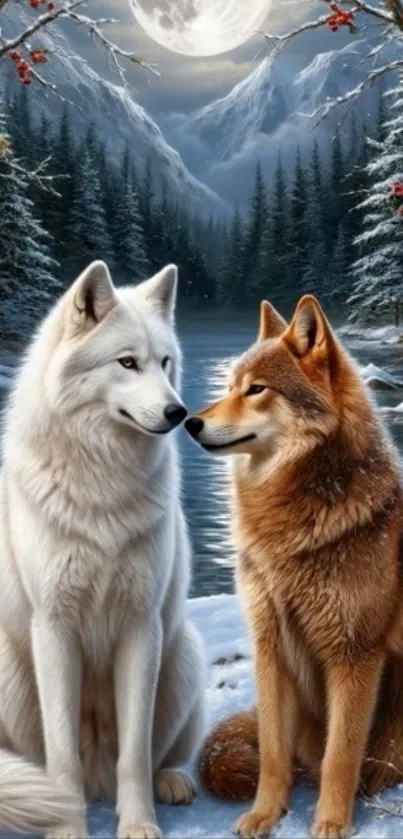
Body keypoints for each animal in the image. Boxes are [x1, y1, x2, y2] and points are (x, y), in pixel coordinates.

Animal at [0, 260, 205, 839]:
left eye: (165, 362)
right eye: (127, 362)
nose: (179, 412)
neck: (101, 485)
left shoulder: (141, 626)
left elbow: (135, 752)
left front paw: (138, 825)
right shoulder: (54, 627)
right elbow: (61, 754)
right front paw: (66, 826)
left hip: (183, 657)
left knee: (159, 756)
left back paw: (172, 782)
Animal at [185, 295, 403, 839]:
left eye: (256, 389)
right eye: (229, 386)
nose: (189, 422)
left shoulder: (355, 654)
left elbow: (340, 756)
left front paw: (329, 824)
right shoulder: (269, 644)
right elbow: (273, 754)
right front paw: (265, 814)